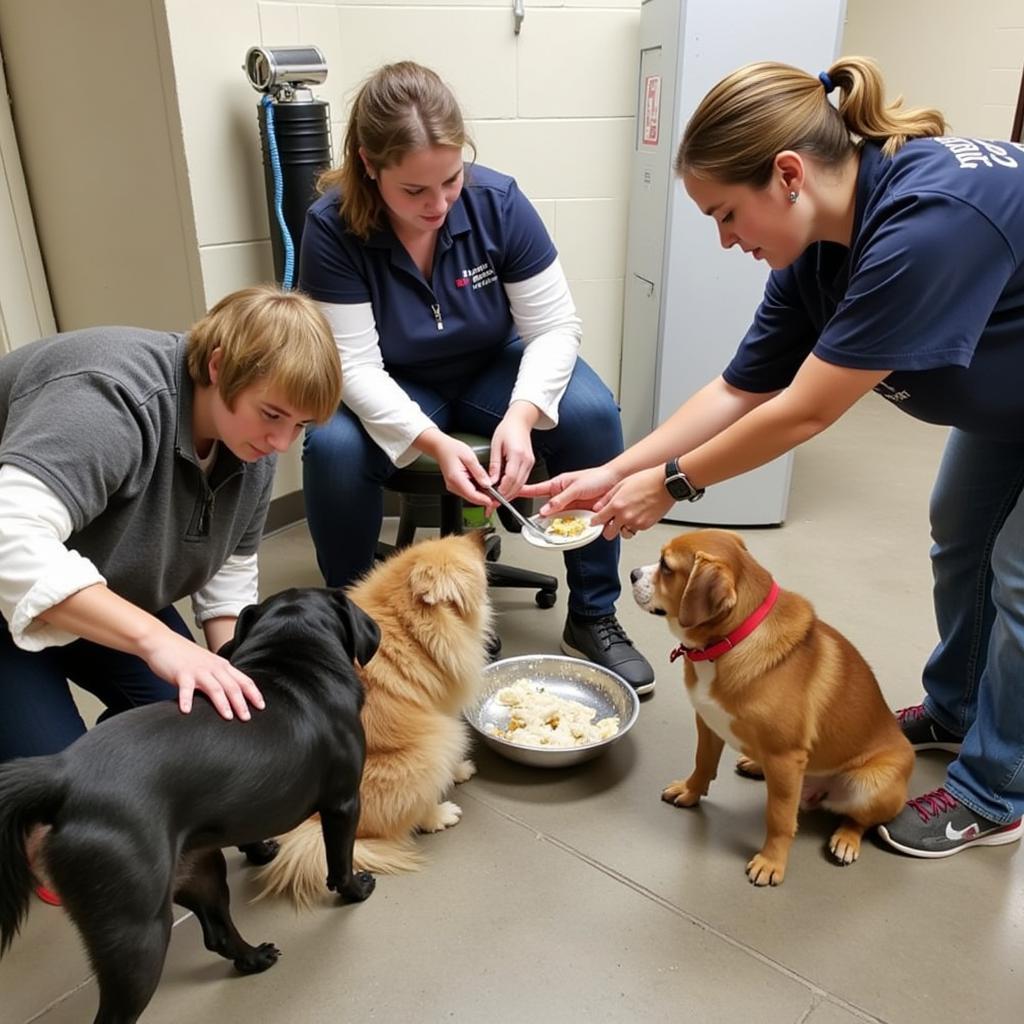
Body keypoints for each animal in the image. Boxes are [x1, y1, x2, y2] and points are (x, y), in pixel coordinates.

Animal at [0, 585, 380, 1024]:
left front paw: (259, 850)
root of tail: (61, 775)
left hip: (199, 868)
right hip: (137, 932)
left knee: (217, 934)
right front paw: (355, 888)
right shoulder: (343, 803)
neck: (292, 661)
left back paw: (255, 958)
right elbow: (339, 861)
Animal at [260, 532, 491, 909]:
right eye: (471, 559)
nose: (484, 534)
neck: (407, 622)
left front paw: (459, 770)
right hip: (434, 745)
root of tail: (311, 819)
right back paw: (439, 815)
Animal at [630, 532, 913, 884]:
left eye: (666, 567)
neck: (729, 643)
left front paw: (771, 861)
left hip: (869, 784)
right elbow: (703, 763)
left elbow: (779, 818)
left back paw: (846, 839)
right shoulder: (708, 724)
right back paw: (754, 763)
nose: (632, 574)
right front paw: (690, 790)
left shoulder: (785, 756)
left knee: (859, 819)